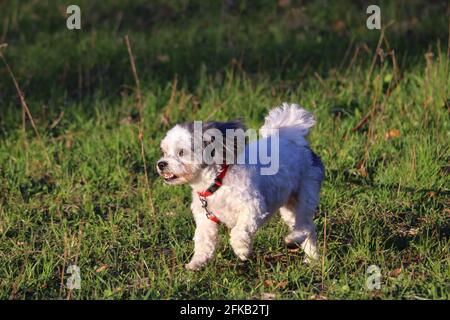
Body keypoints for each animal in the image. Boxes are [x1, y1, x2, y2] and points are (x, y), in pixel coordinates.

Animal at [157, 103, 324, 270]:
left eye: (181, 152)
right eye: (164, 151)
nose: (161, 164)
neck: (217, 180)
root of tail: (293, 139)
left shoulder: (254, 207)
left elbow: (240, 230)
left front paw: (241, 249)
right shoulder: (205, 219)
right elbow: (203, 241)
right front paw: (196, 262)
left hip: (306, 192)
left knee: (304, 224)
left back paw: (293, 241)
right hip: (289, 205)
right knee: (307, 228)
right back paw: (312, 258)